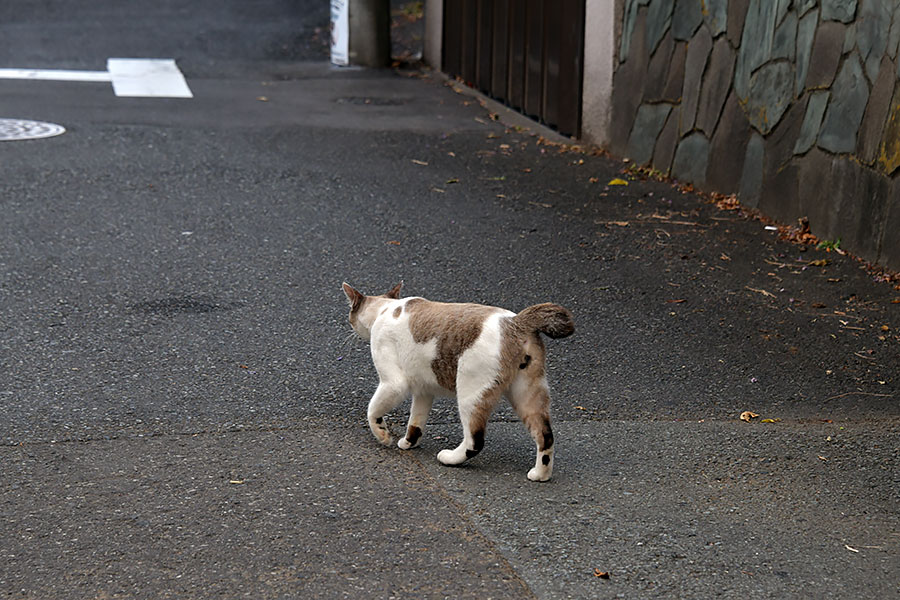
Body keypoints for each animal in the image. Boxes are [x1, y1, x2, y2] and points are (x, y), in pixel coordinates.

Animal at [342, 282, 572, 482]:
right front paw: (408, 443)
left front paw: (383, 436)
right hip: (527, 394)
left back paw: (450, 458)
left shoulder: (393, 384)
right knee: (546, 436)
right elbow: (416, 423)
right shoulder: (423, 390)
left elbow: (372, 411)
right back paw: (540, 475)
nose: (350, 327)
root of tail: (517, 323)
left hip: (470, 393)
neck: (385, 310)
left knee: (475, 440)